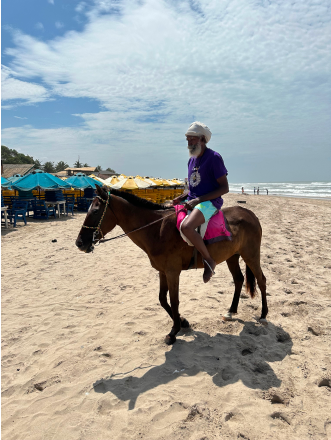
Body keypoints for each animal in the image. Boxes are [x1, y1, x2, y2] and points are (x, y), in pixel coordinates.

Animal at [76, 186, 268, 344]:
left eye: (95, 211)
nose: (79, 243)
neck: (156, 229)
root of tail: (250, 214)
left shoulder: (172, 272)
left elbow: (174, 300)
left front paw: (174, 331)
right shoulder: (163, 271)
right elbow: (162, 299)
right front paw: (182, 321)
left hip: (251, 255)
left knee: (261, 280)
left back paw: (264, 314)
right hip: (232, 257)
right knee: (239, 279)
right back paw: (231, 310)